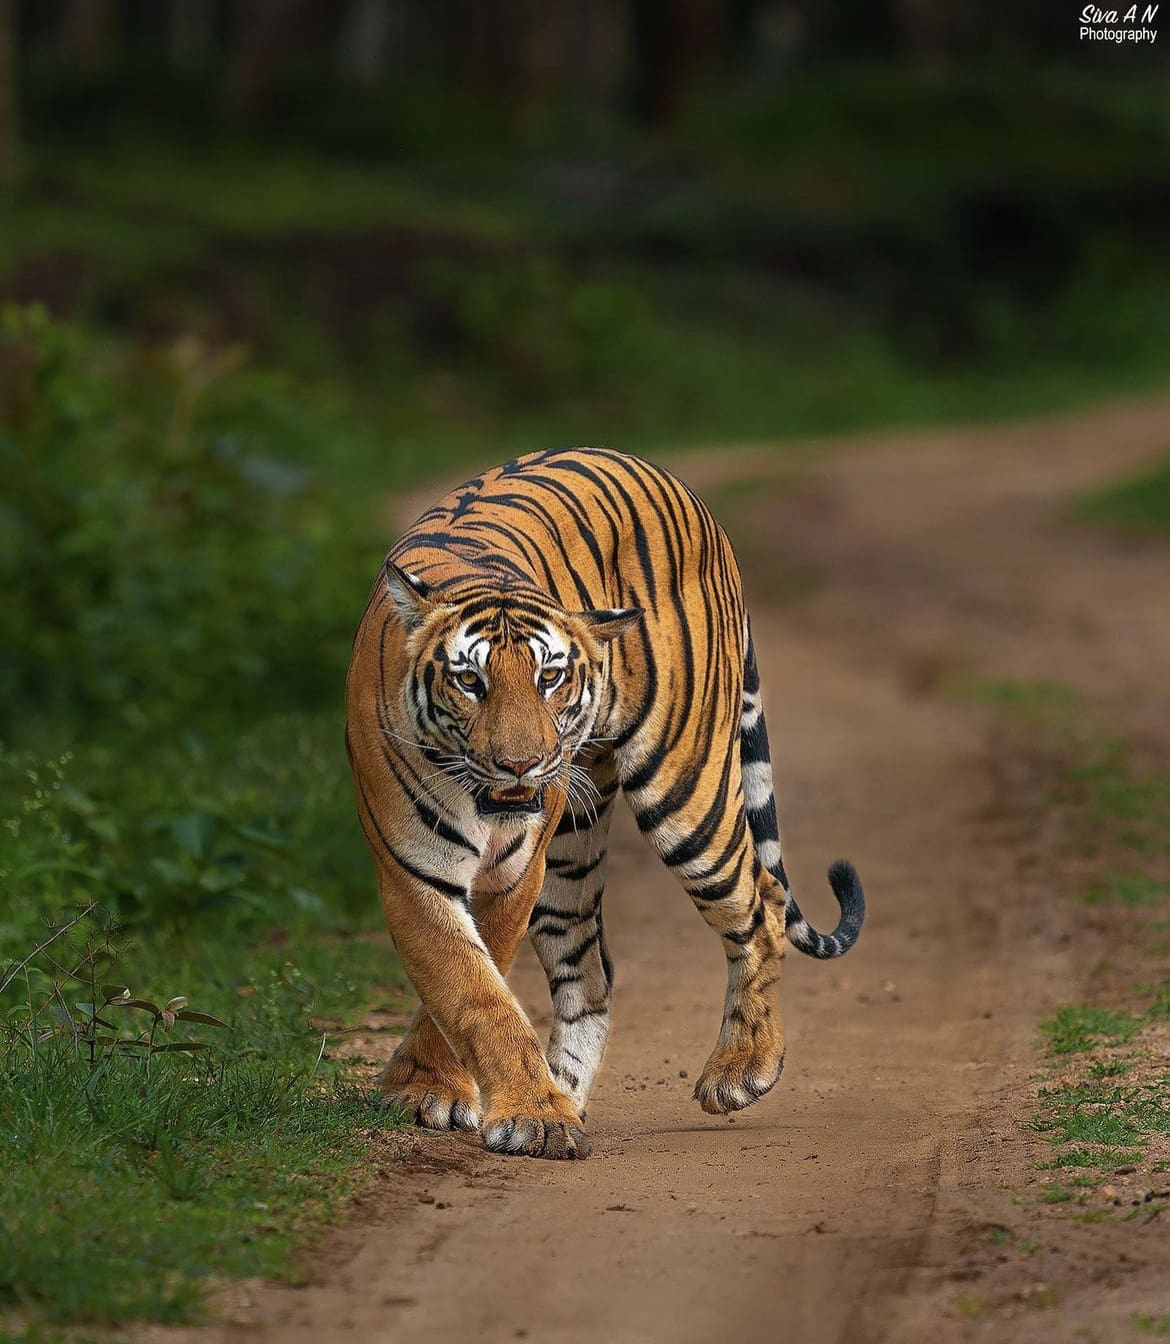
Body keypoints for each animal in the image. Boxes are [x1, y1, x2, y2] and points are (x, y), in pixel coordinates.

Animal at [342, 446, 865, 1161]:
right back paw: (567, 1089)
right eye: (470, 681)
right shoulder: (414, 871)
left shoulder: (512, 873)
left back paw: (741, 1070)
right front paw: (510, 1104)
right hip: (571, 851)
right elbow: (474, 992)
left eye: (550, 677)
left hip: (685, 791)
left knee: (762, 900)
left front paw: (479, 1100)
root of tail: (677, 483)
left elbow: (479, 984)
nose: (521, 764)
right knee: (591, 972)